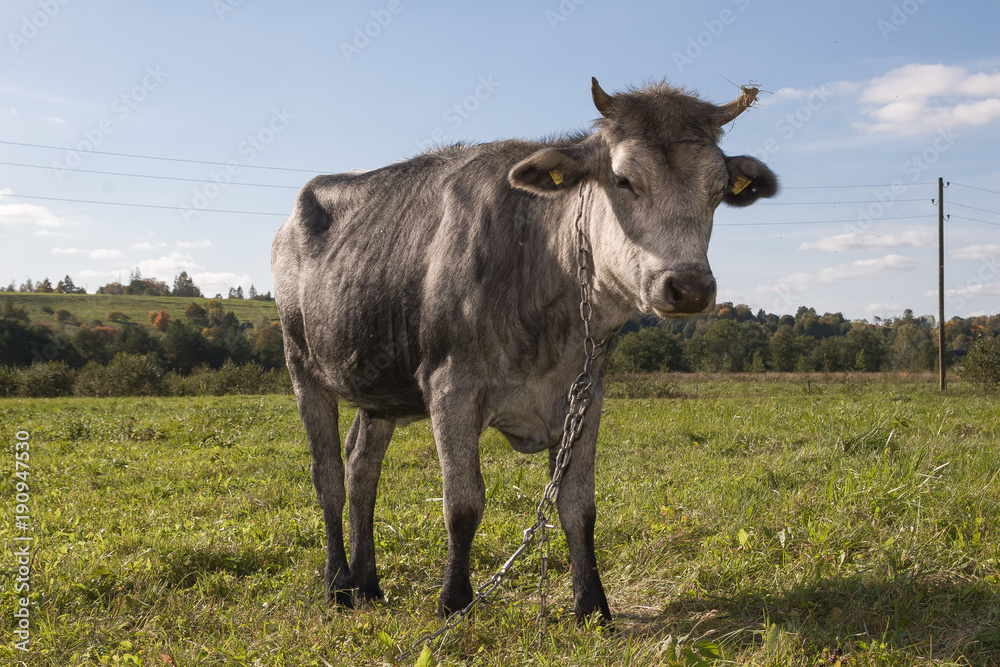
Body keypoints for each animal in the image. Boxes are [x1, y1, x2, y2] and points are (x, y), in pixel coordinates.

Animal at [271, 77, 777, 624]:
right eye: (623, 180)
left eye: (717, 191)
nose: (689, 288)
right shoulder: (451, 387)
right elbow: (463, 502)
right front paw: (454, 602)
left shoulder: (587, 394)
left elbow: (578, 505)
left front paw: (592, 606)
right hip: (302, 365)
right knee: (328, 475)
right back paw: (338, 584)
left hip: (380, 388)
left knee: (362, 467)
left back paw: (367, 583)